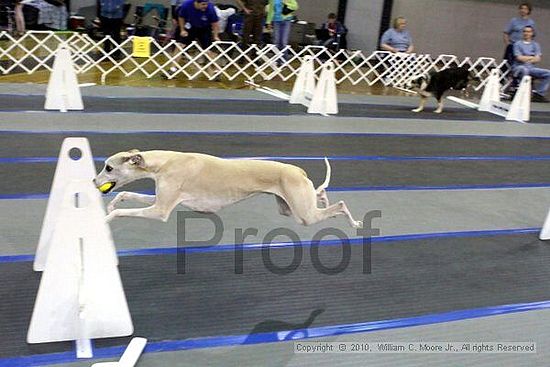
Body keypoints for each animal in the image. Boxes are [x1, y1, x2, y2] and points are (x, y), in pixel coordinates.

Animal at [93, 149, 364, 227]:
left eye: (108, 167)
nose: (93, 182)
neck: (165, 162)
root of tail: (298, 171)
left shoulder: (161, 211)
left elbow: (122, 211)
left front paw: (106, 218)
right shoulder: (160, 200)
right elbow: (126, 193)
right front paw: (113, 203)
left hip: (304, 215)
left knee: (341, 204)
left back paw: (354, 223)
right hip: (288, 208)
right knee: (320, 195)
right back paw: (323, 198)